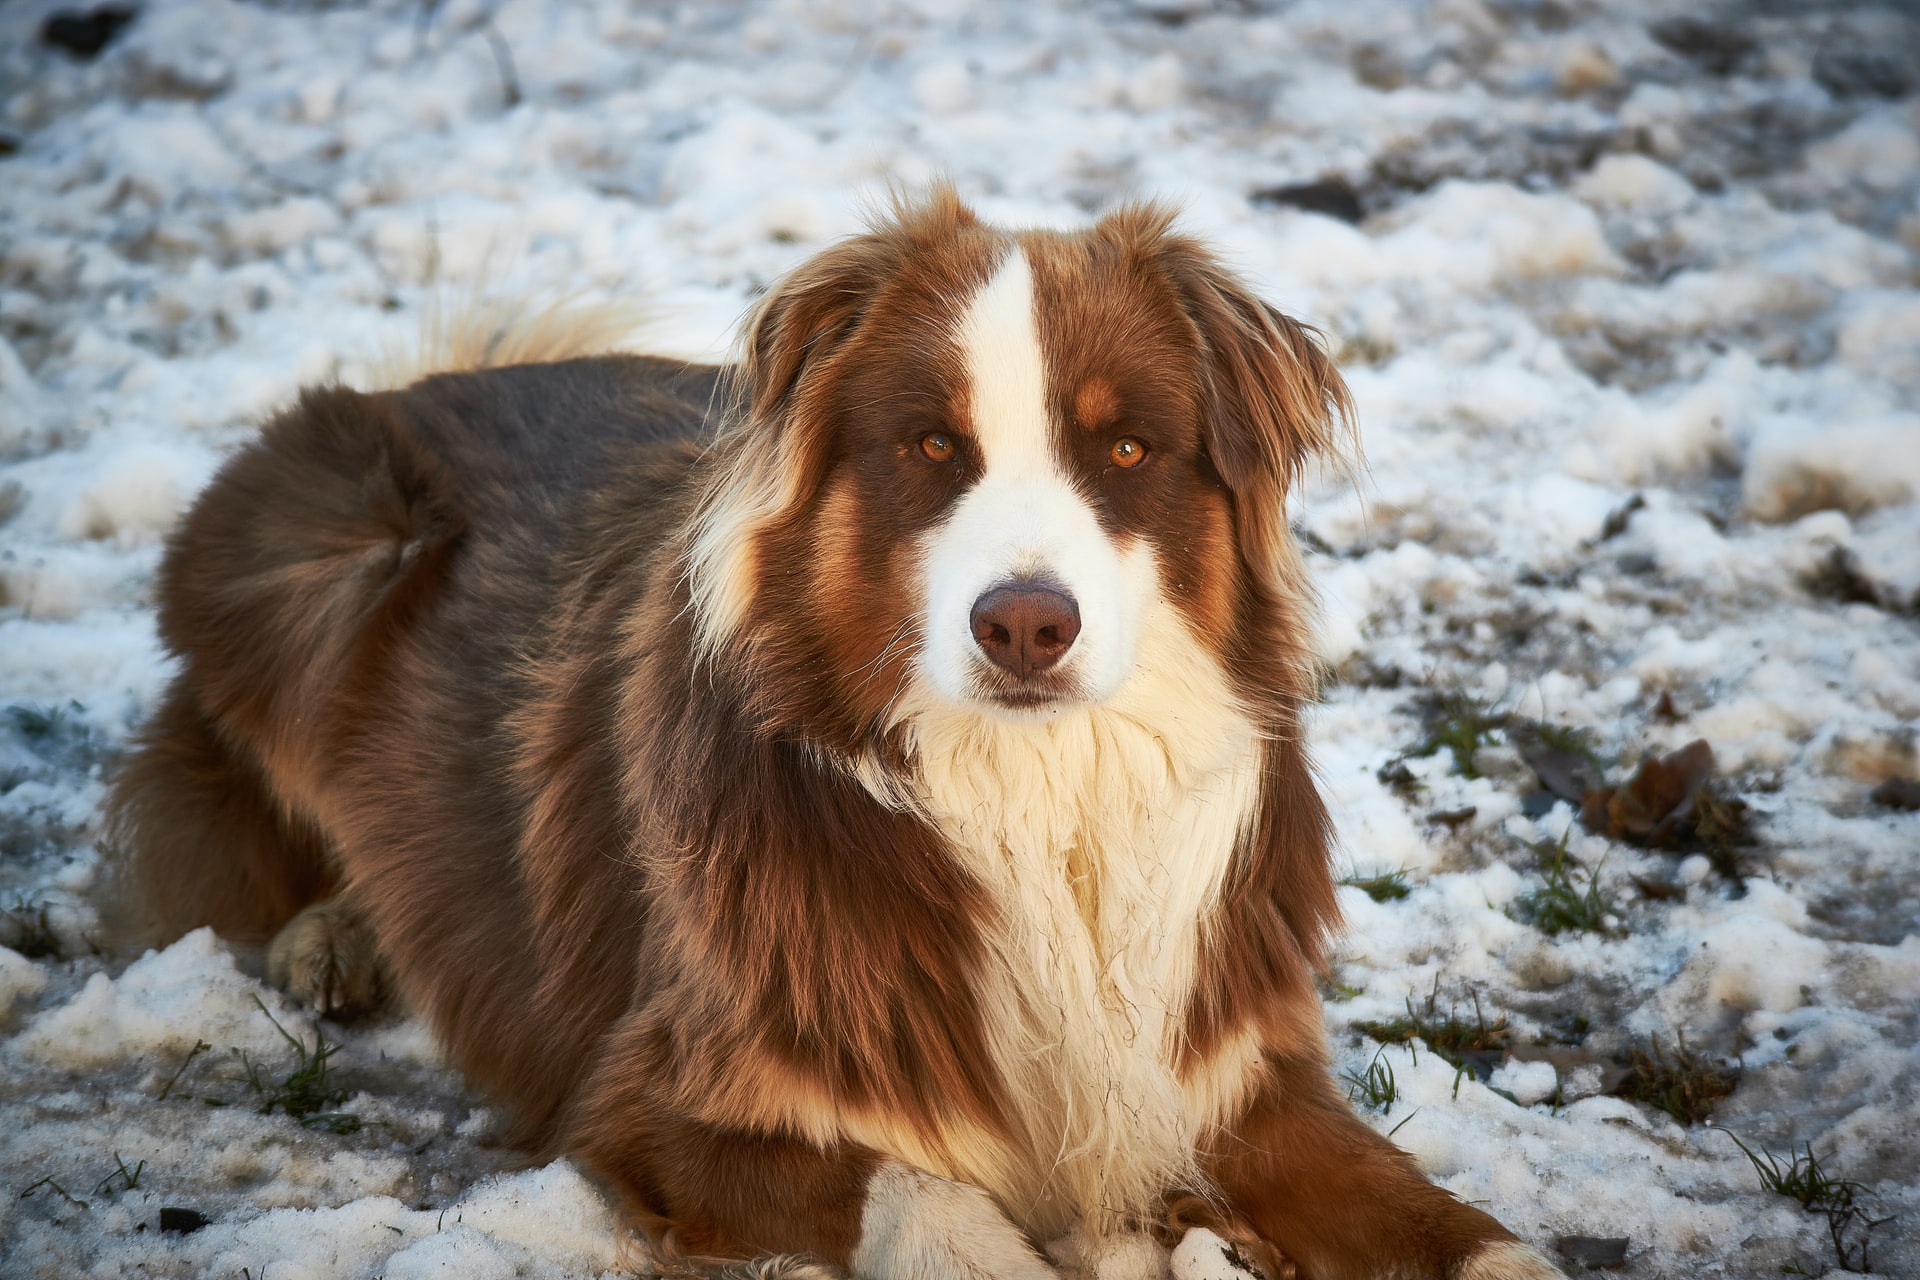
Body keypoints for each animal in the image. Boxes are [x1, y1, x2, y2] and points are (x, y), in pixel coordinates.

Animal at [105, 189, 1559, 1280]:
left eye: (1129, 451)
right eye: (931, 447)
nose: (1024, 624)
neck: (1038, 804)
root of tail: (451, 372)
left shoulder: (1241, 1079)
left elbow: (1458, 1227)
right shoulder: (662, 1101)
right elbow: (928, 1200)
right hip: (330, 549)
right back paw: (333, 933)